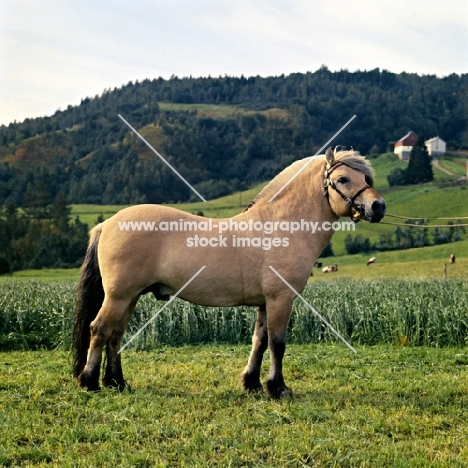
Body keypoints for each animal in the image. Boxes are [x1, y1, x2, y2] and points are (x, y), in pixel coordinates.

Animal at [73, 147, 386, 398]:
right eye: (343, 179)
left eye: (366, 179)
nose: (378, 206)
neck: (281, 225)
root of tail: (108, 223)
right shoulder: (280, 299)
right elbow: (278, 343)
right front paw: (278, 388)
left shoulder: (265, 303)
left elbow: (259, 341)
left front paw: (252, 384)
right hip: (118, 296)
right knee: (99, 330)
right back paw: (90, 382)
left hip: (130, 297)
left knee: (115, 335)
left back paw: (116, 382)